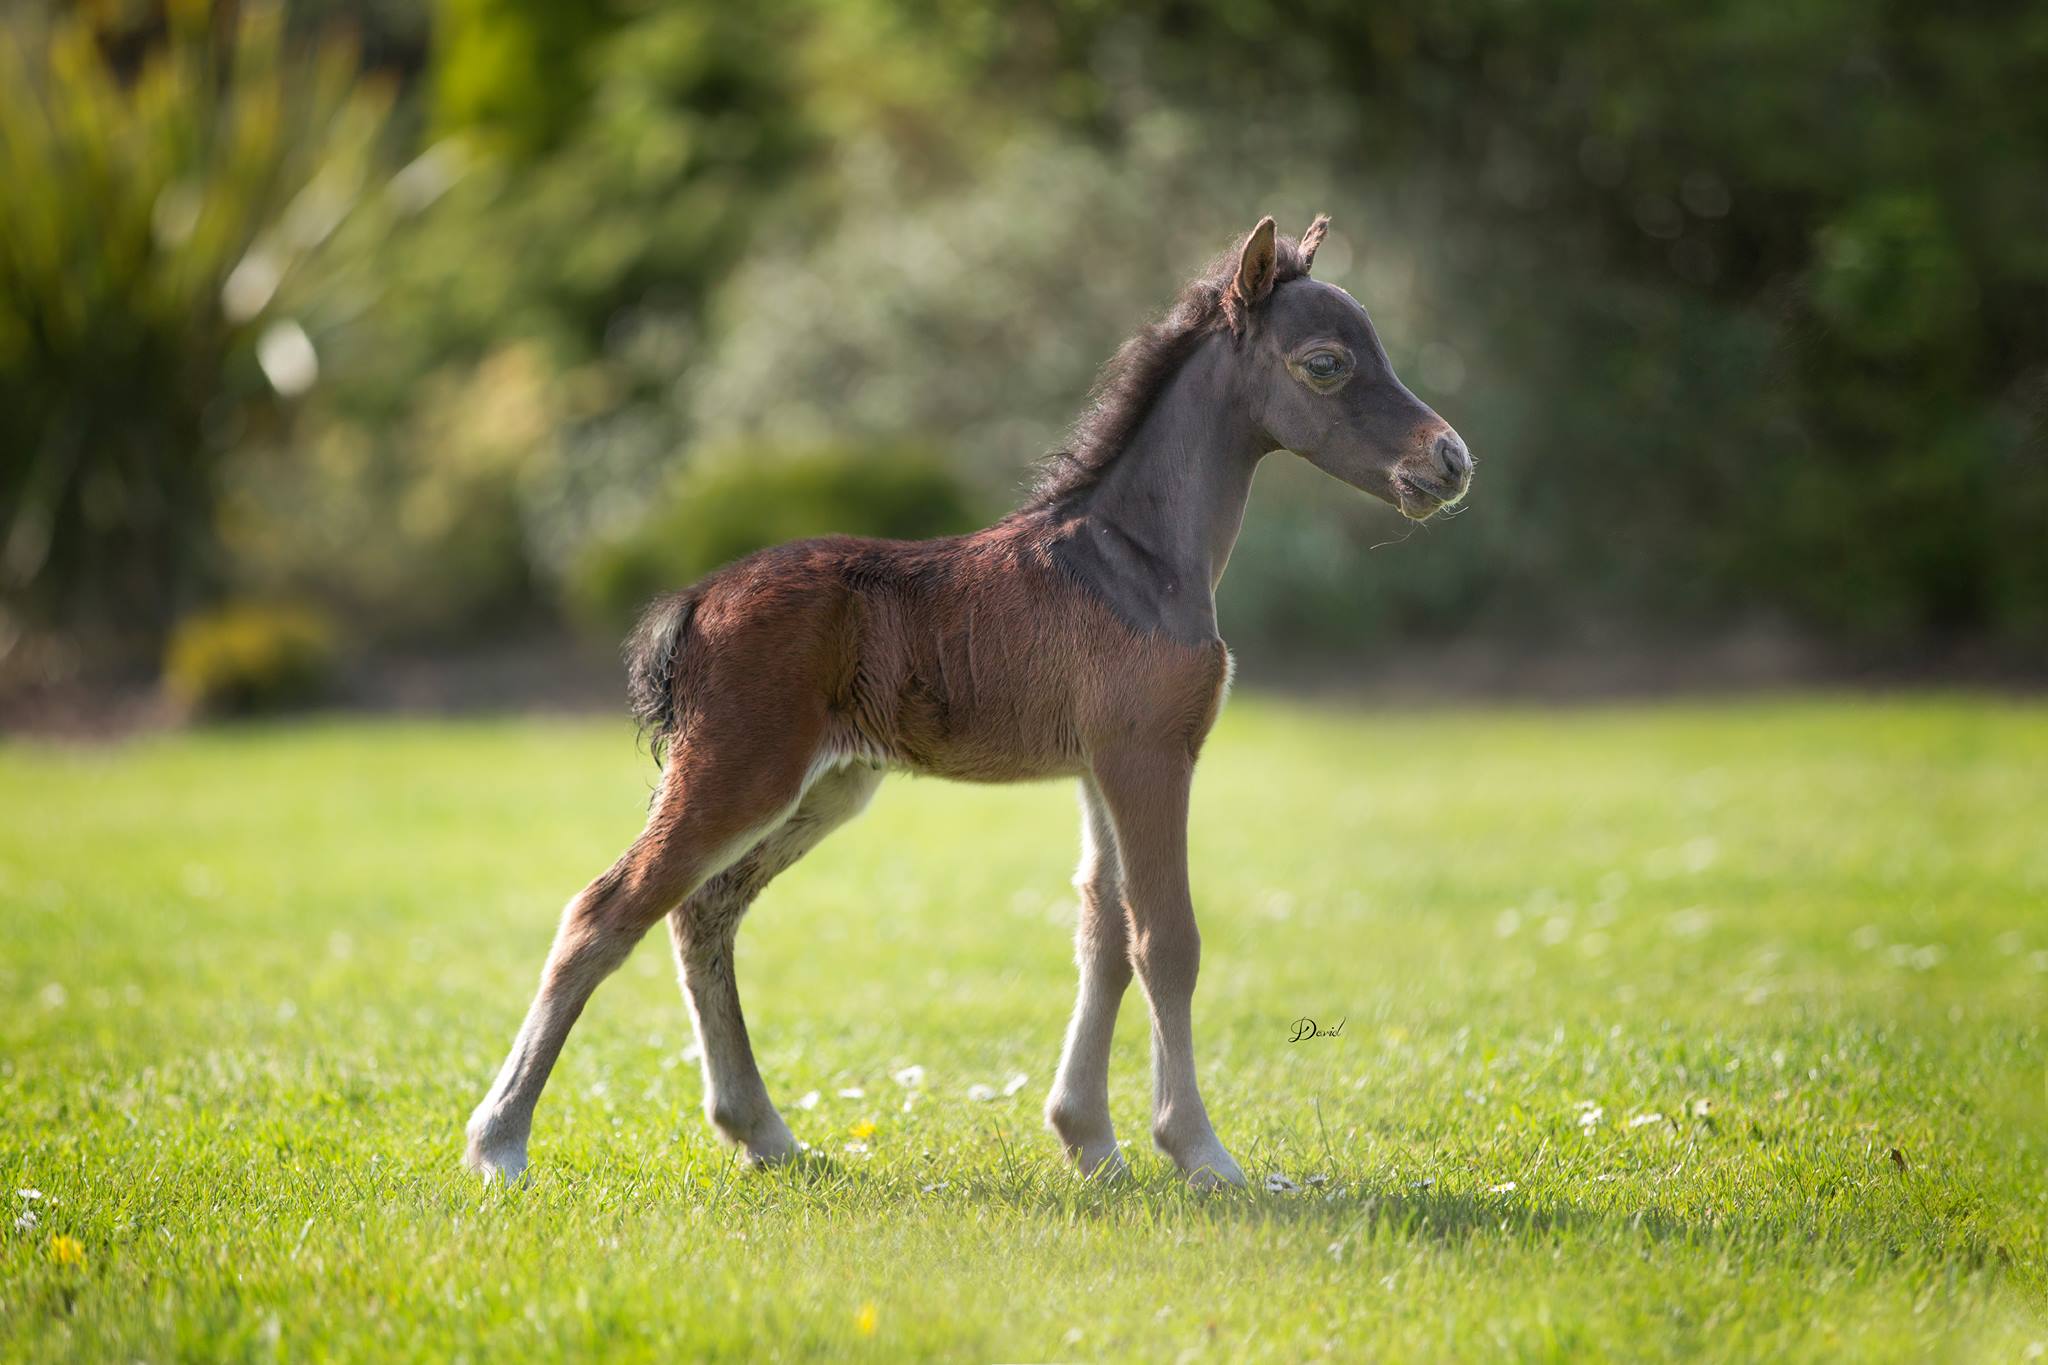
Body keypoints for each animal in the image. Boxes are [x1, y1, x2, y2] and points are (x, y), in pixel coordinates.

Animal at [465, 214, 1474, 1188]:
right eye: (1326, 363)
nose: (1452, 459)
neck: (1135, 560)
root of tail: (696, 599)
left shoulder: (1101, 765)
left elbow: (1103, 932)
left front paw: (1090, 1142)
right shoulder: (1149, 753)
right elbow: (1167, 938)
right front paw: (1202, 1154)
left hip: (828, 785)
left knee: (704, 910)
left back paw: (765, 1135)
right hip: (740, 769)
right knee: (607, 909)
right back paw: (499, 1142)